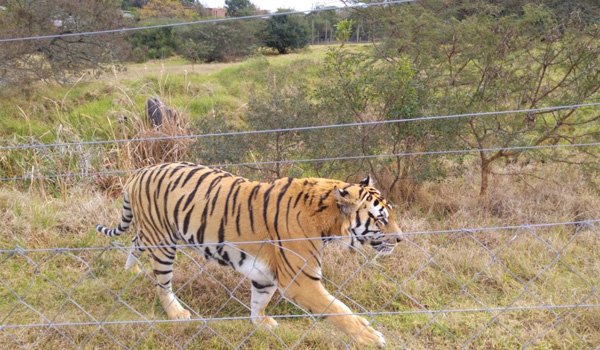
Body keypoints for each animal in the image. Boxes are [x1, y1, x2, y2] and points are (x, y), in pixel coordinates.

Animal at [95, 162, 404, 348]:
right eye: (381, 219)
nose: (401, 239)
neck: (328, 222)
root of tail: (140, 171)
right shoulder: (301, 280)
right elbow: (339, 310)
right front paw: (371, 337)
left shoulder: (266, 273)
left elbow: (260, 300)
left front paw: (261, 323)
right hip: (163, 243)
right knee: (162, 283)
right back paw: (176, 313)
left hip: (154, 233)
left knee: (135, 241)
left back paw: (131, 271)